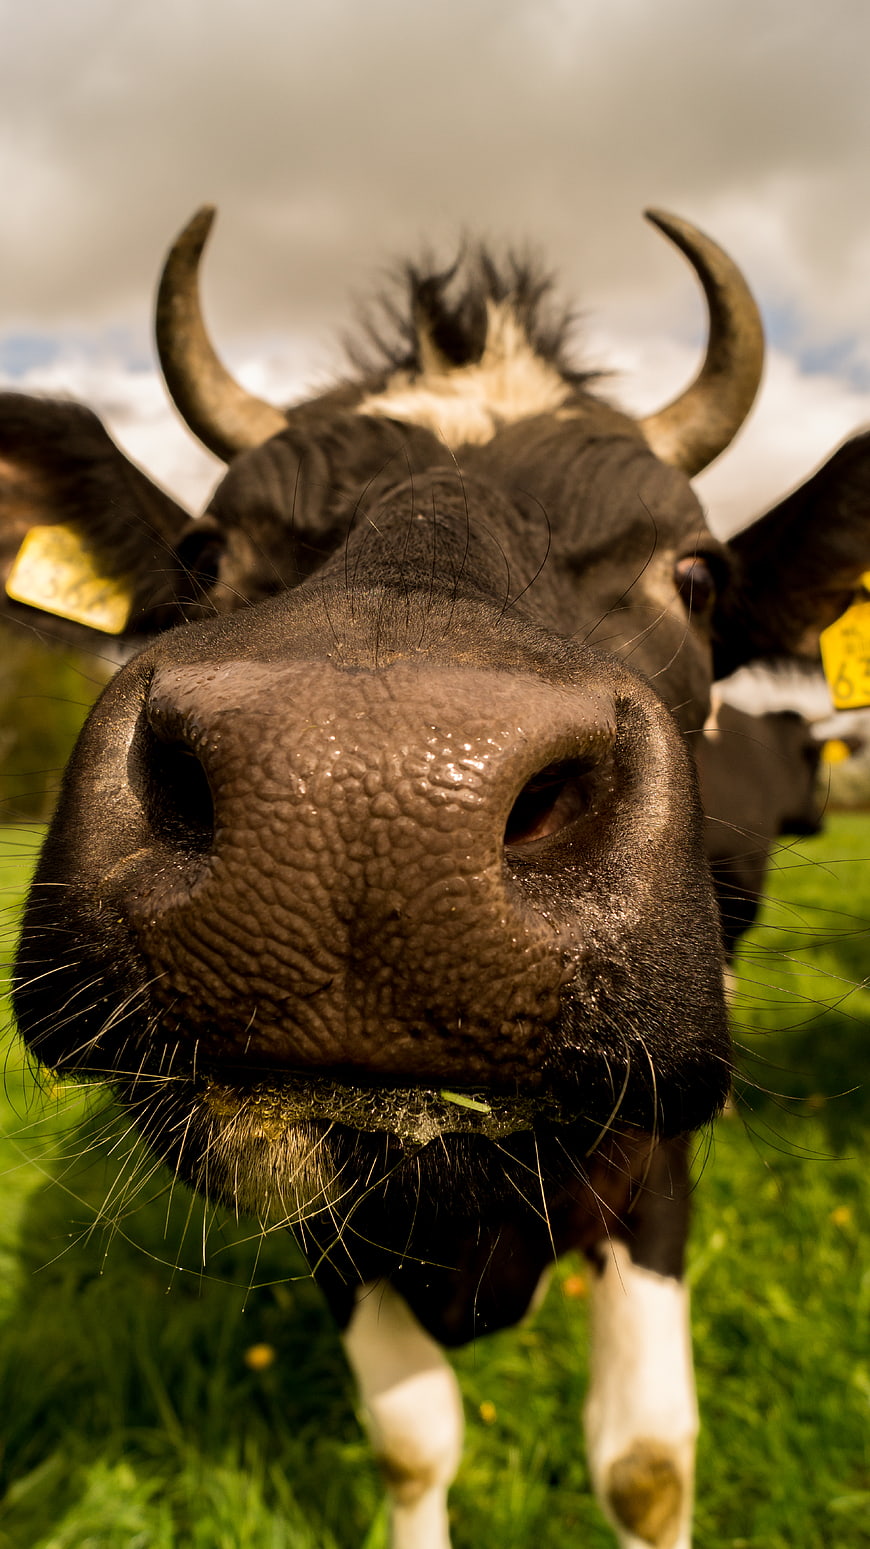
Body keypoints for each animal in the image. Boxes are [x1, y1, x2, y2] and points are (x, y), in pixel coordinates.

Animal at [5, 205, 870, 1549]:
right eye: (206, 553)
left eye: (695, 573)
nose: (361, 790)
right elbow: (413, 1442)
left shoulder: (653, 1157)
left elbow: (645, 1464)